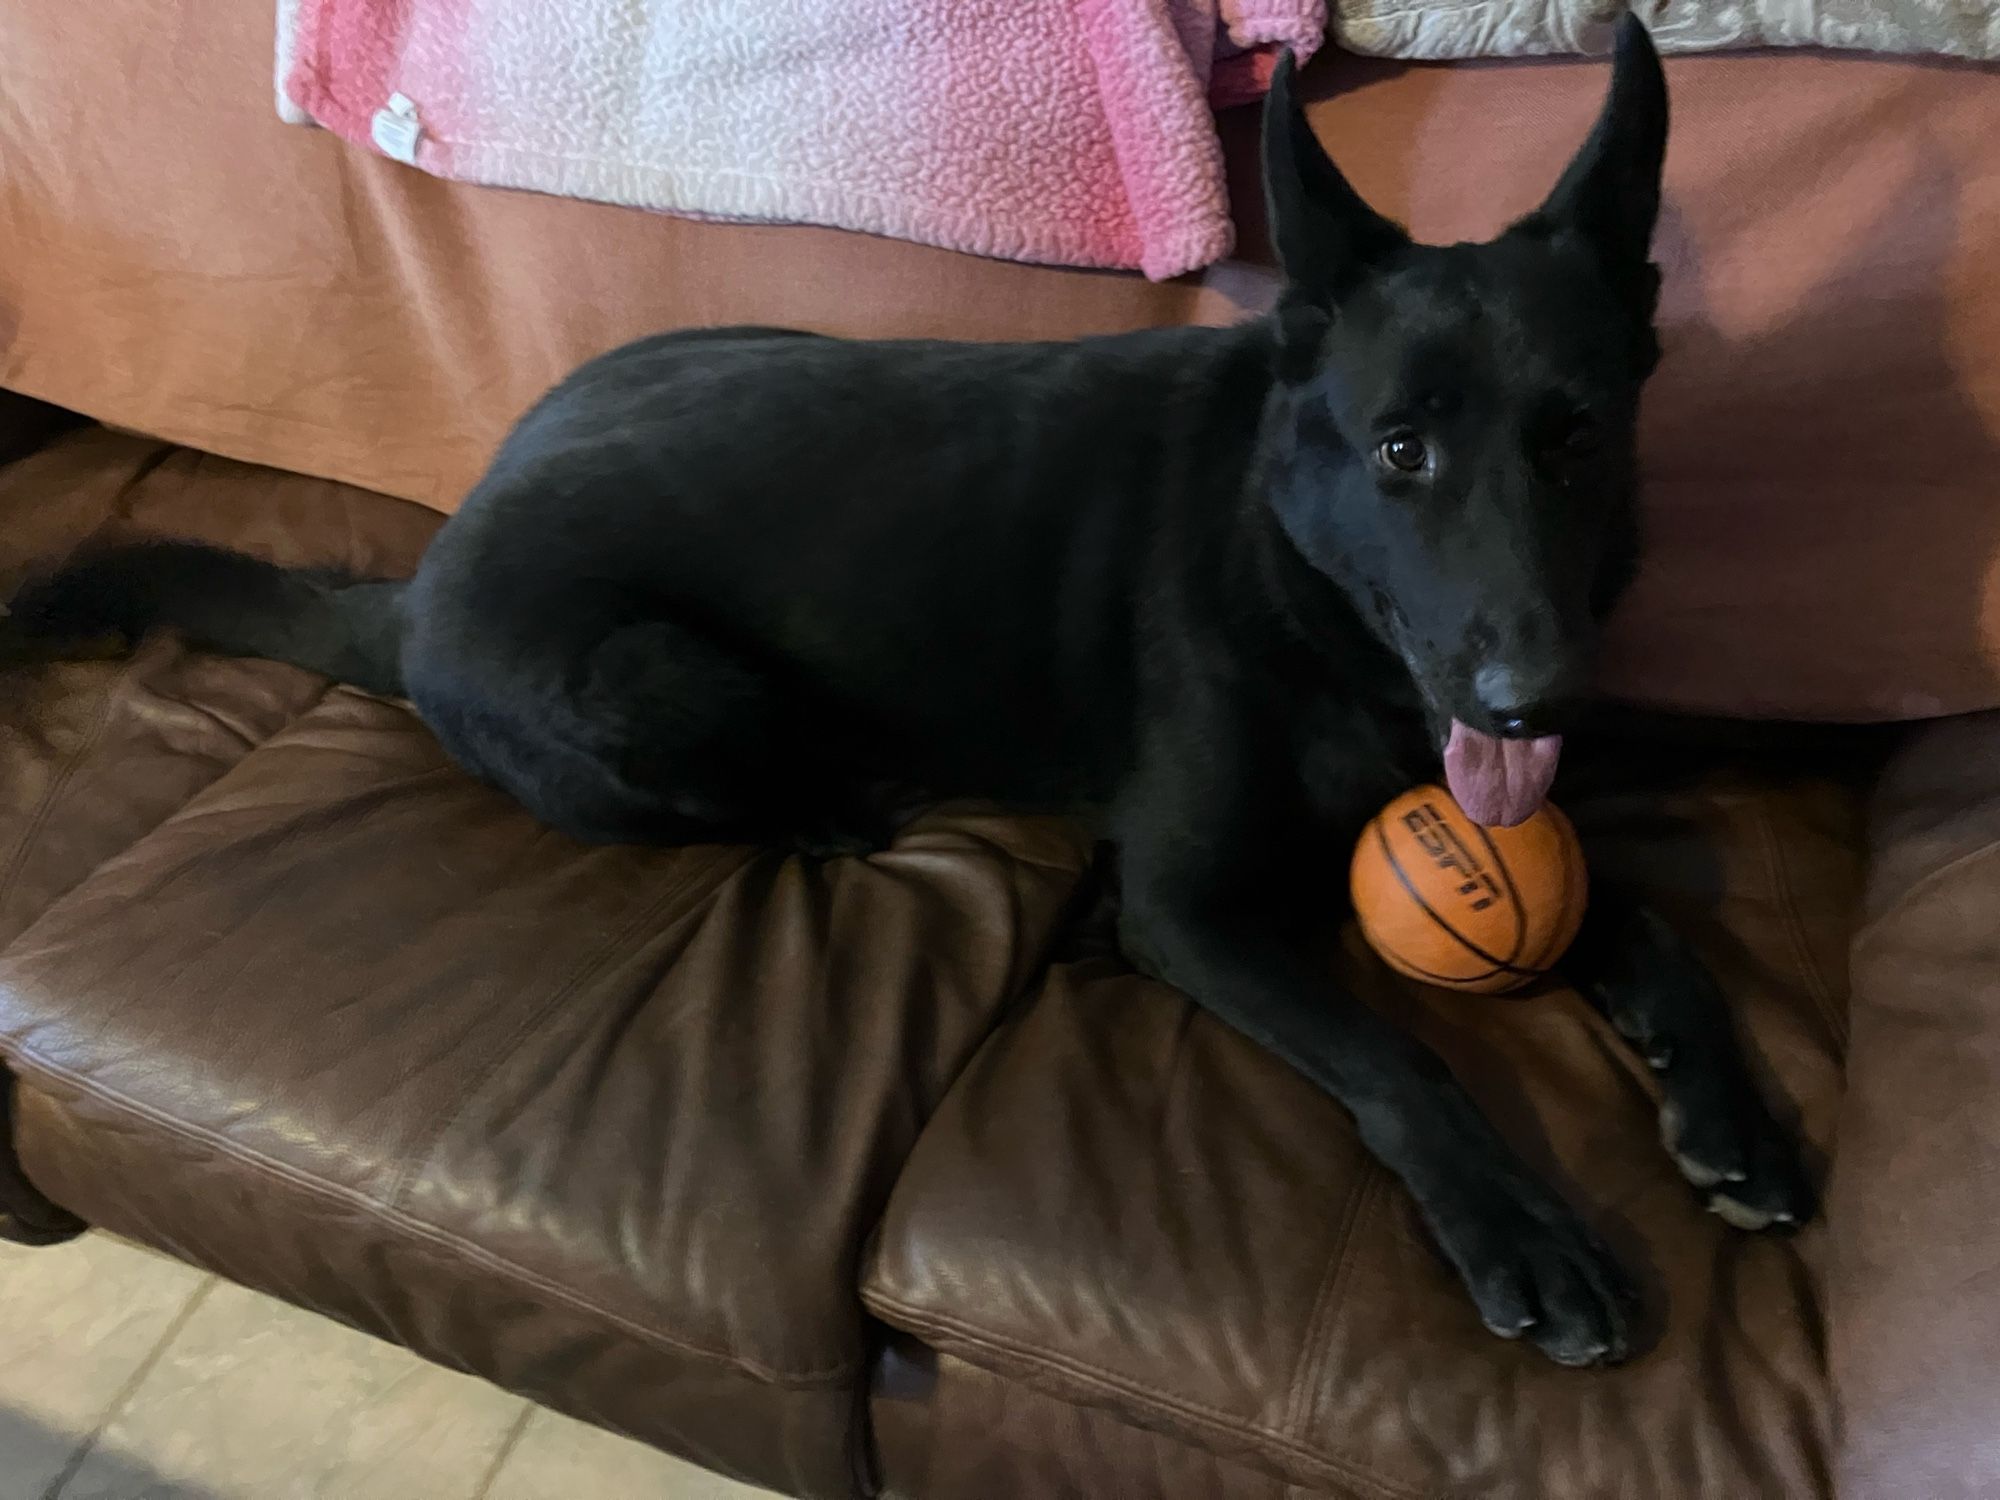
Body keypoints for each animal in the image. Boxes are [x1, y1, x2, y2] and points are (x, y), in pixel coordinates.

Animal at [3, 14, 1816, 1376]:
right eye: (1401, 452)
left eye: (1574, 438)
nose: (1531, 696)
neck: (1305, 584)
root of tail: (431, 566)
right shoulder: (1188, 911)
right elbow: (1400, 1059)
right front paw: (1522, 1226)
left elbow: (1648, 918)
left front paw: (1730, 1105)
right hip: (653, 687)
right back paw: (832, 805)